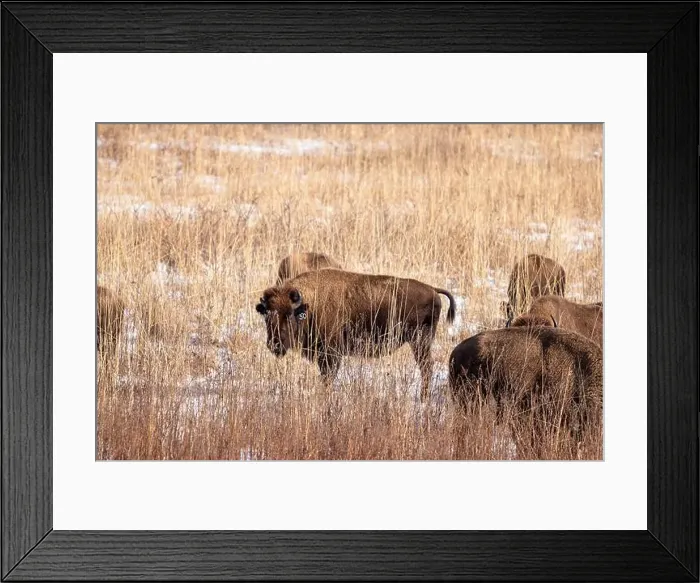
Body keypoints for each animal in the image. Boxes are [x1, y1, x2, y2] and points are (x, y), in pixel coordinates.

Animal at [256, 268, 456, 402]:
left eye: (290, 314)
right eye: (267, 315)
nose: (274, 344)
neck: (310, 304)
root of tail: (432, 289)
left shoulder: (330, 354)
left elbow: (328, 377)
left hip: (419, 341)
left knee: (426, 367)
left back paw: (423, 398)